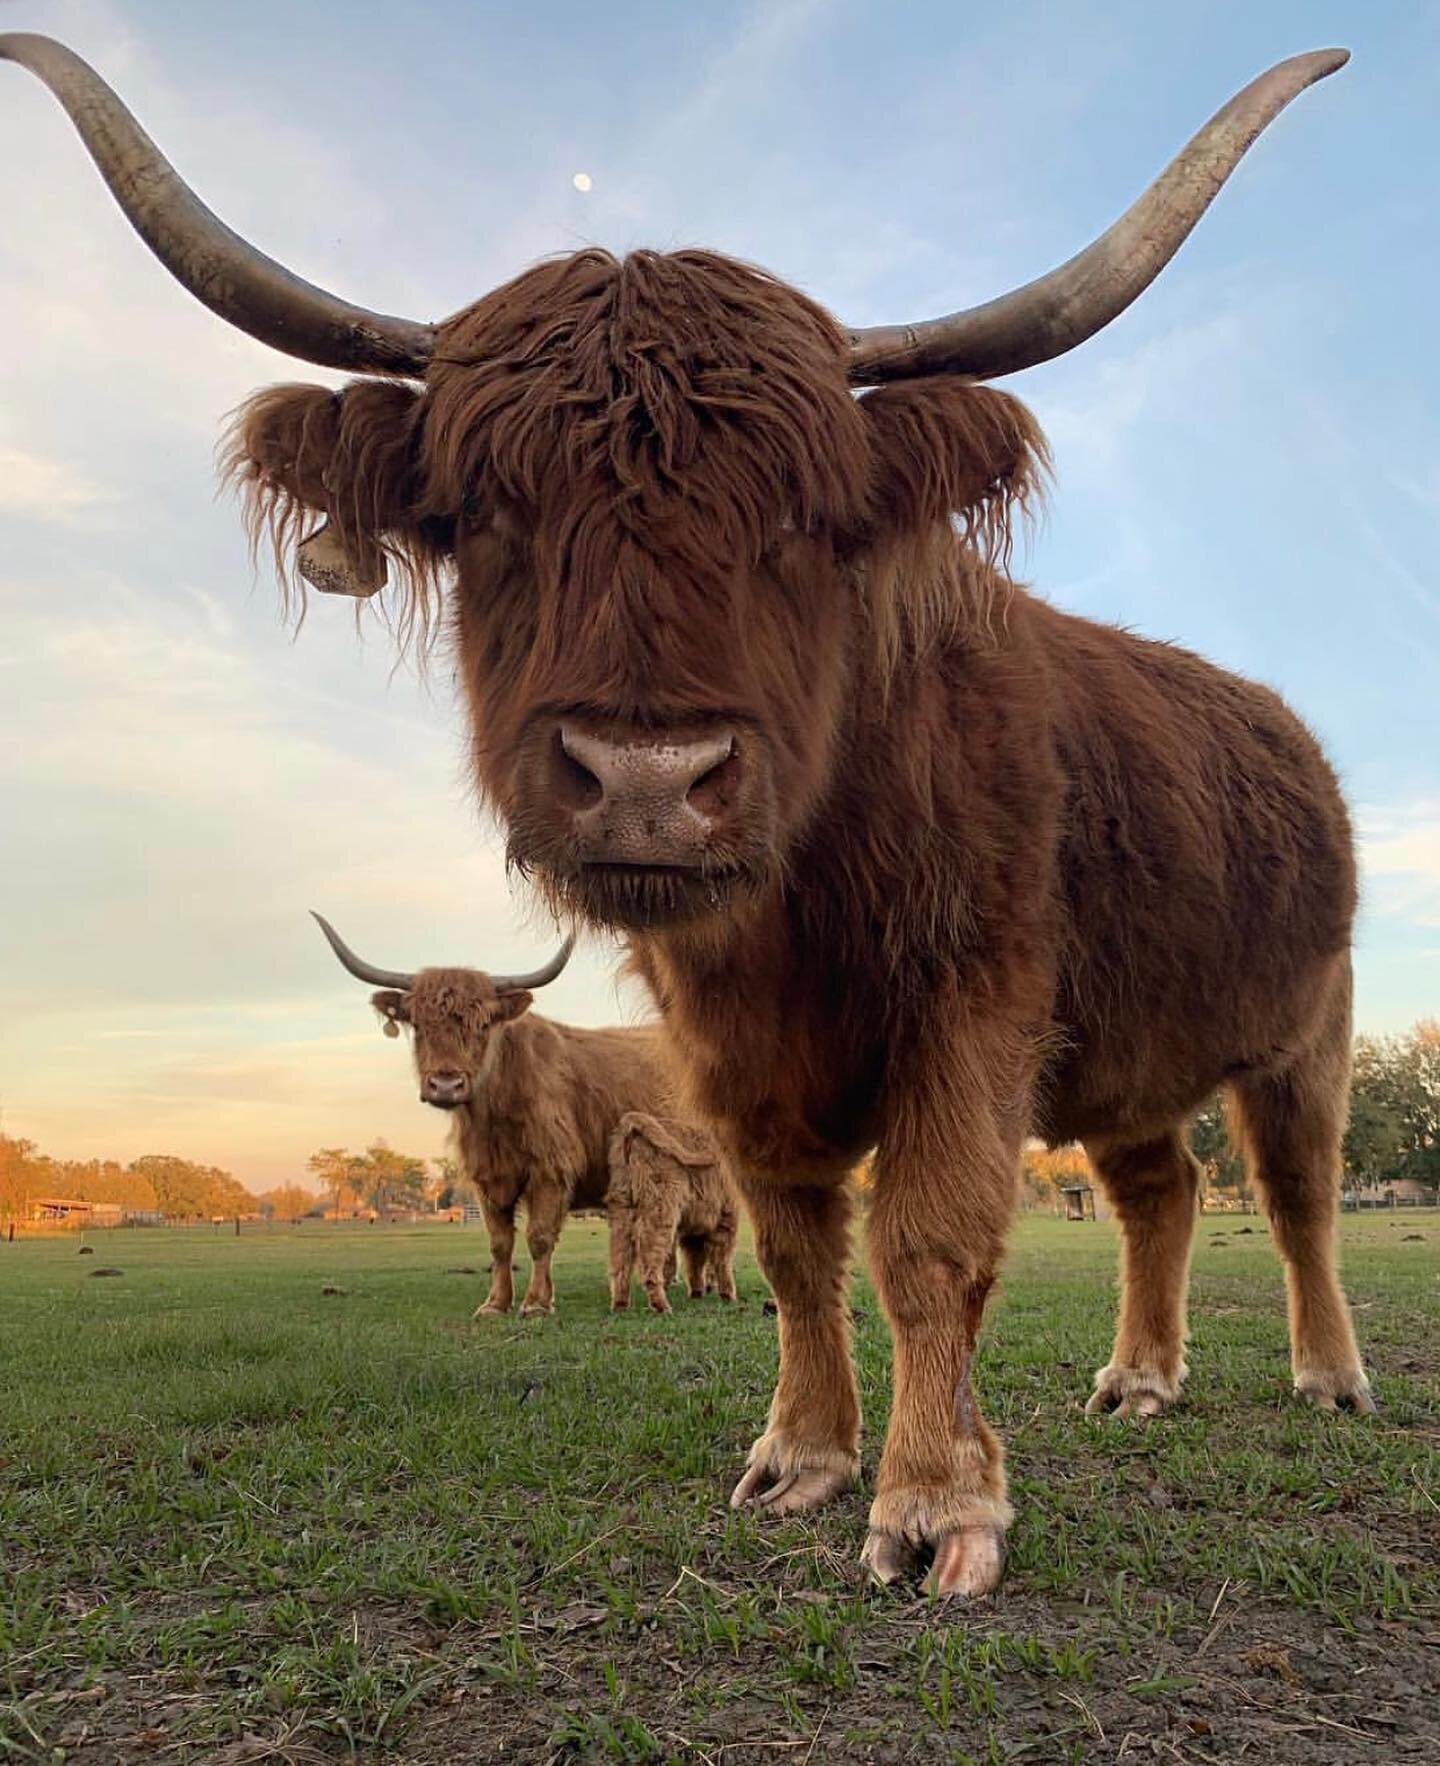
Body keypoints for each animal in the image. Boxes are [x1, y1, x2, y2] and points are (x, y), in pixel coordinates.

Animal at [607, 1111, 740, 1313]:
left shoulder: (696, 1226)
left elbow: (695, 1260)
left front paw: (697, 1293)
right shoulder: (727, 1216)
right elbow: (722, 1259)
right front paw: (728, 1296)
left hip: (622, 1207)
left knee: (620, 1258)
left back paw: (621, 1305)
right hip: (660, 1207)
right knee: (649, 1257)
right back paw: (661, 1306)